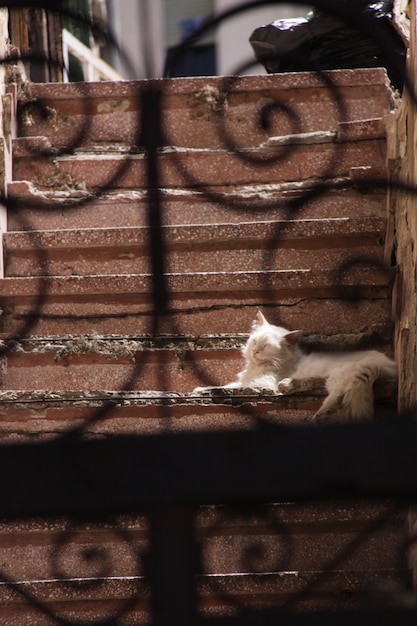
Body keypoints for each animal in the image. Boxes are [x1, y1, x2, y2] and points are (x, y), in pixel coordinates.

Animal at [193, 308, 394, 420]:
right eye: (255, 341)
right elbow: (226, 385)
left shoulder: (259, 384)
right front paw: (199, 389)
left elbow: (222, 388)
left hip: (343, 374)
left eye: (266, 346)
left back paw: (315, 412)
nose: (255, 351)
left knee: (335, 394)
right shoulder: (244, 381)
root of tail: (390, 364)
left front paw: (200, 390)